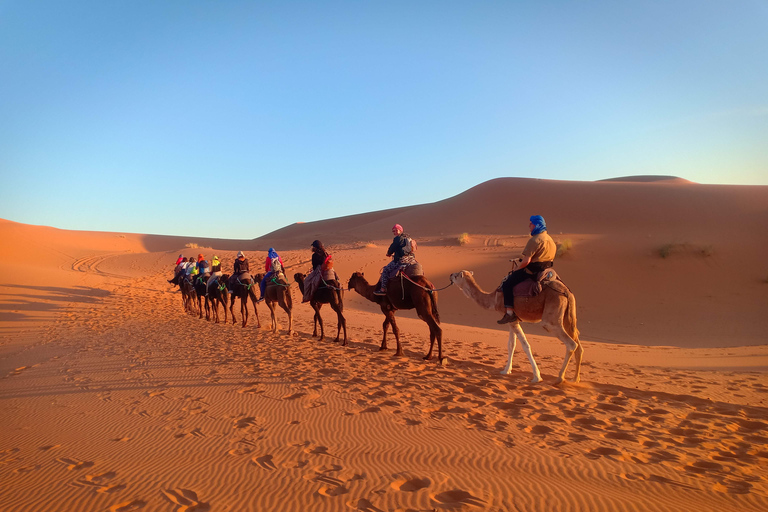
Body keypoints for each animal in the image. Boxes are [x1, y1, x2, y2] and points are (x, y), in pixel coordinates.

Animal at [450, 270, 584, 382]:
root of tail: (566, 292)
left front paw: (537, 376)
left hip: (551, 319)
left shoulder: (511, 319)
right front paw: (506, 370)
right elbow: (511, 345)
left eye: (456, 275)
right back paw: (575, 379)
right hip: (568, 317)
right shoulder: (511, 320)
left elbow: (525, 345)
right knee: (578, 343)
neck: (494, 299)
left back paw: (560, 378)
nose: (450, 275)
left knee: (571, 343)